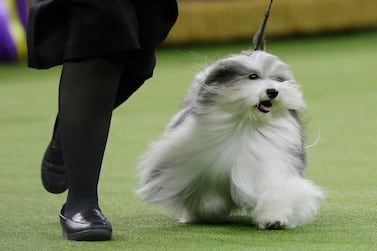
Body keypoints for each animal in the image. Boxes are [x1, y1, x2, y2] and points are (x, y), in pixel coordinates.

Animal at [137, 0, 324, 229]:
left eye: (278, 79)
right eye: (253, 77)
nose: (273, 91)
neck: (245, 125)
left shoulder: (269, 162)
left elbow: (275, 191)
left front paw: (275, 218)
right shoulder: (194, 166)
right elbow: (207, 196)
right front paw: (212, 209)